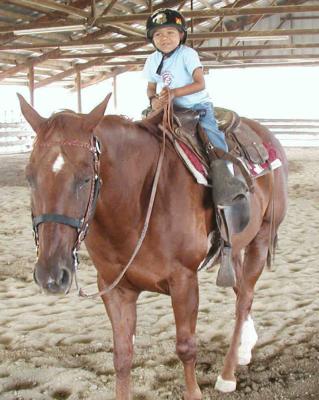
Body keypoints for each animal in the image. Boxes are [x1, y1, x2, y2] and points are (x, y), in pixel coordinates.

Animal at [18, 94, 288, 400]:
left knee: (244, 299)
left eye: (85, 178)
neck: (137, 201)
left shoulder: (184, 281)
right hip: (234, 249)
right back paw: (244, 348)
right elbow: (123, 356)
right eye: (29, 177)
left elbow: (186, 347)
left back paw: (227, 374)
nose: (51, 275)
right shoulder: (114, 288)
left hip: (262, 237)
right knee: (242, 290)